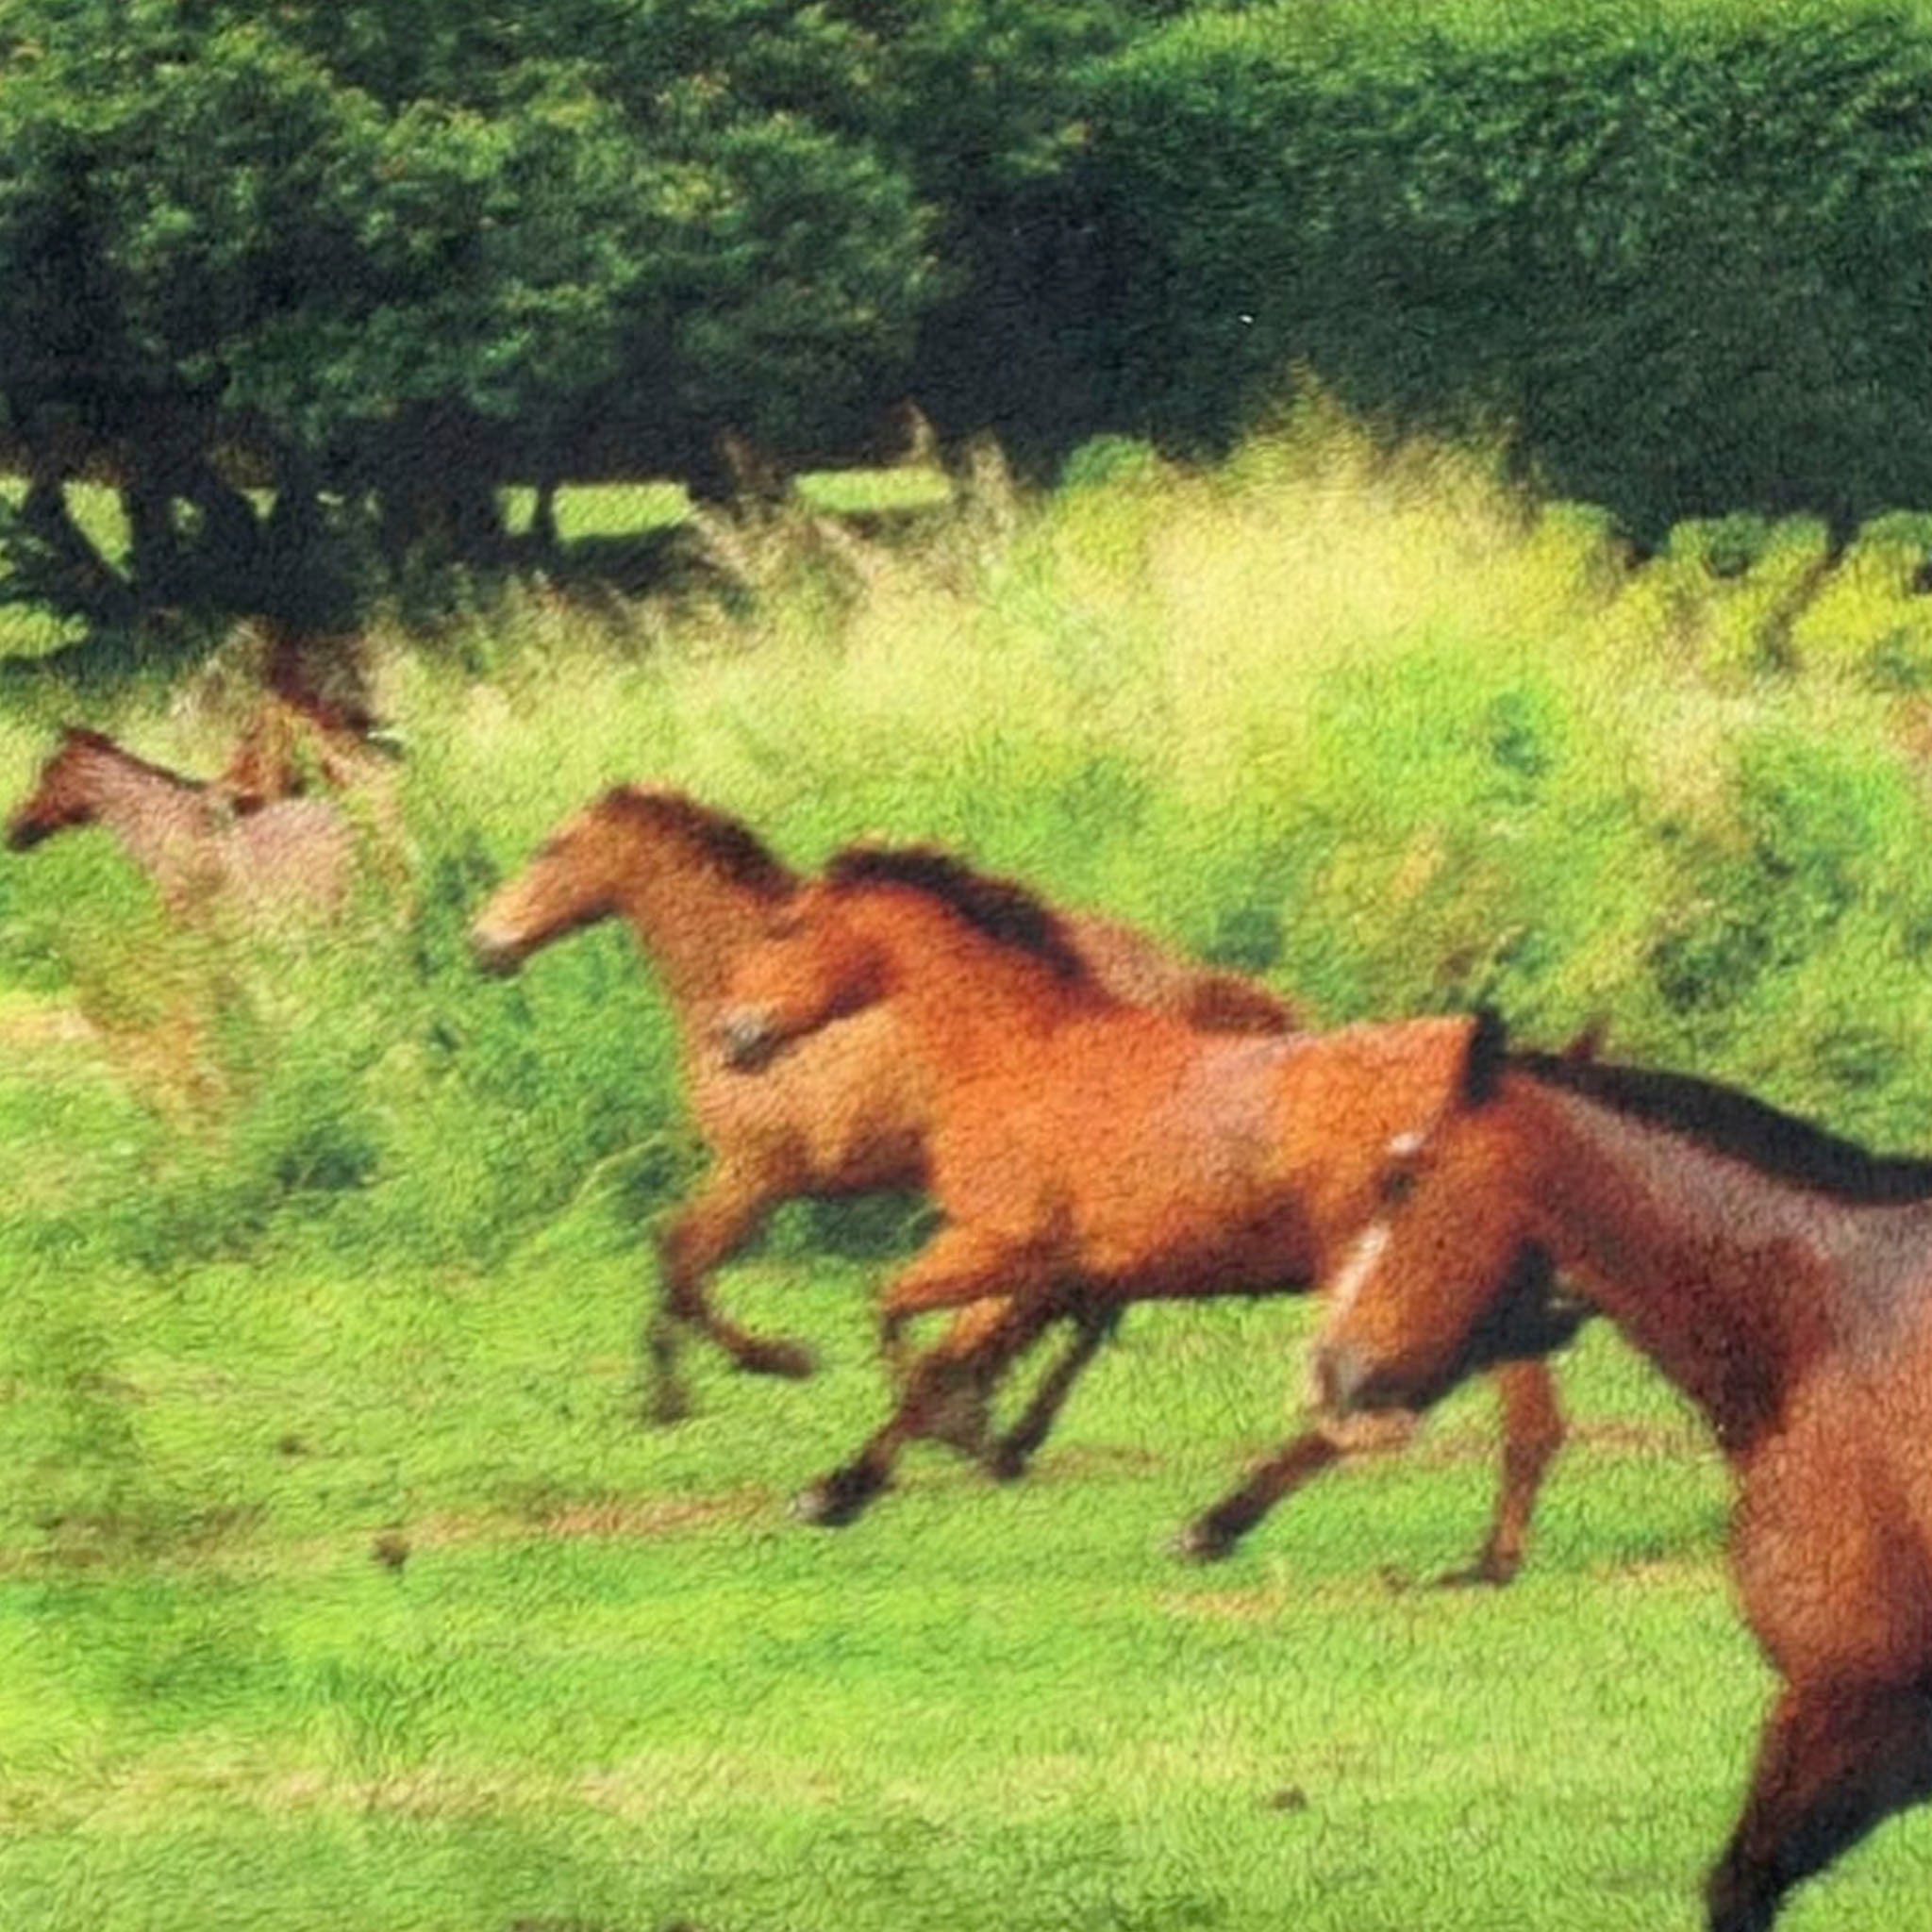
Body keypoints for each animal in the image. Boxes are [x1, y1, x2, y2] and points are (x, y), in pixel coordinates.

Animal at [467, 786, 1300, 1452]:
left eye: (551, 847)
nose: (483, 943)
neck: (737, 987)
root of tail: (1190, 985)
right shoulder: (754, 1176)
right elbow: (675, 1254)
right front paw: (673, 1394)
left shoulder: (761, 1172)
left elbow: (681, 1260)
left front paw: (770, 1364)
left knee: (1062, 1298)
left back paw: (969, 1410)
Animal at [714, 845, 1574, 1579]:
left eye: (787, 927)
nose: (731, 1034)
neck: (1021, 1055)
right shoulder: (1046, 1269)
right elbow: (953, 1341)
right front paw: (851, 1485)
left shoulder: (1001, 1245)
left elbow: (898, 1321)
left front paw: (956, 1436)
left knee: (1493, 1418)